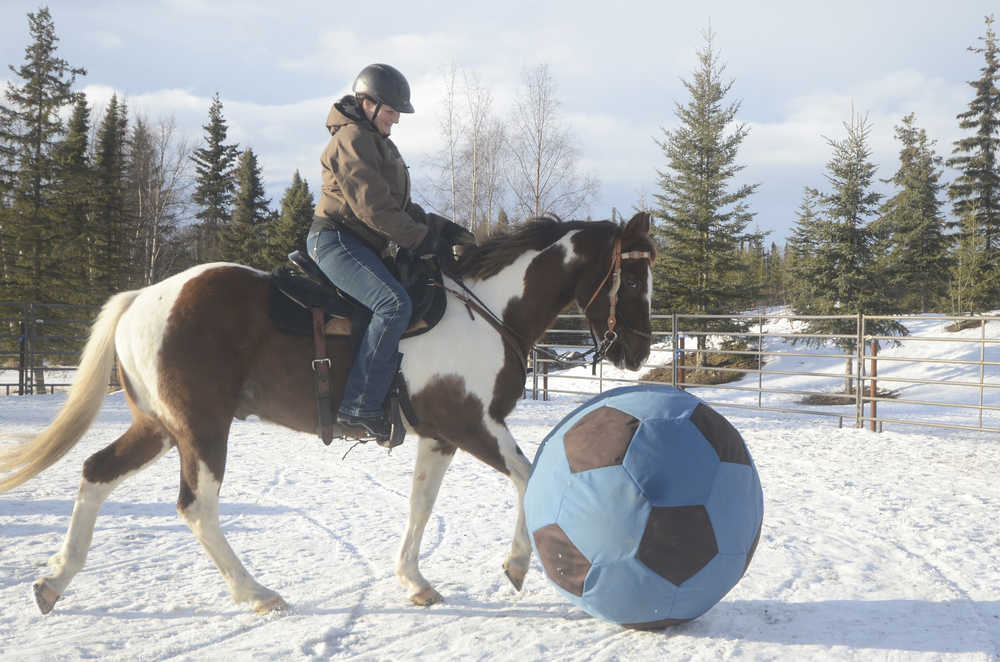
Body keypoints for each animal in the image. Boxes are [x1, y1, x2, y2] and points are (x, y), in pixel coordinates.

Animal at [0, 213, 656, 616]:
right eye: (632, 279)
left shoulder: (440, 436)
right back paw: (256, 592)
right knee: (196, 508)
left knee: (95, 473)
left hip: (157, 428)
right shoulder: (473, 424)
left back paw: (54, 580)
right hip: (202, 430)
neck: (486, 309)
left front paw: (414, 581)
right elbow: (529, 476)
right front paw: (518, 565)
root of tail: (143, 298)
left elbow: (421, 505)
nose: (638, 351)